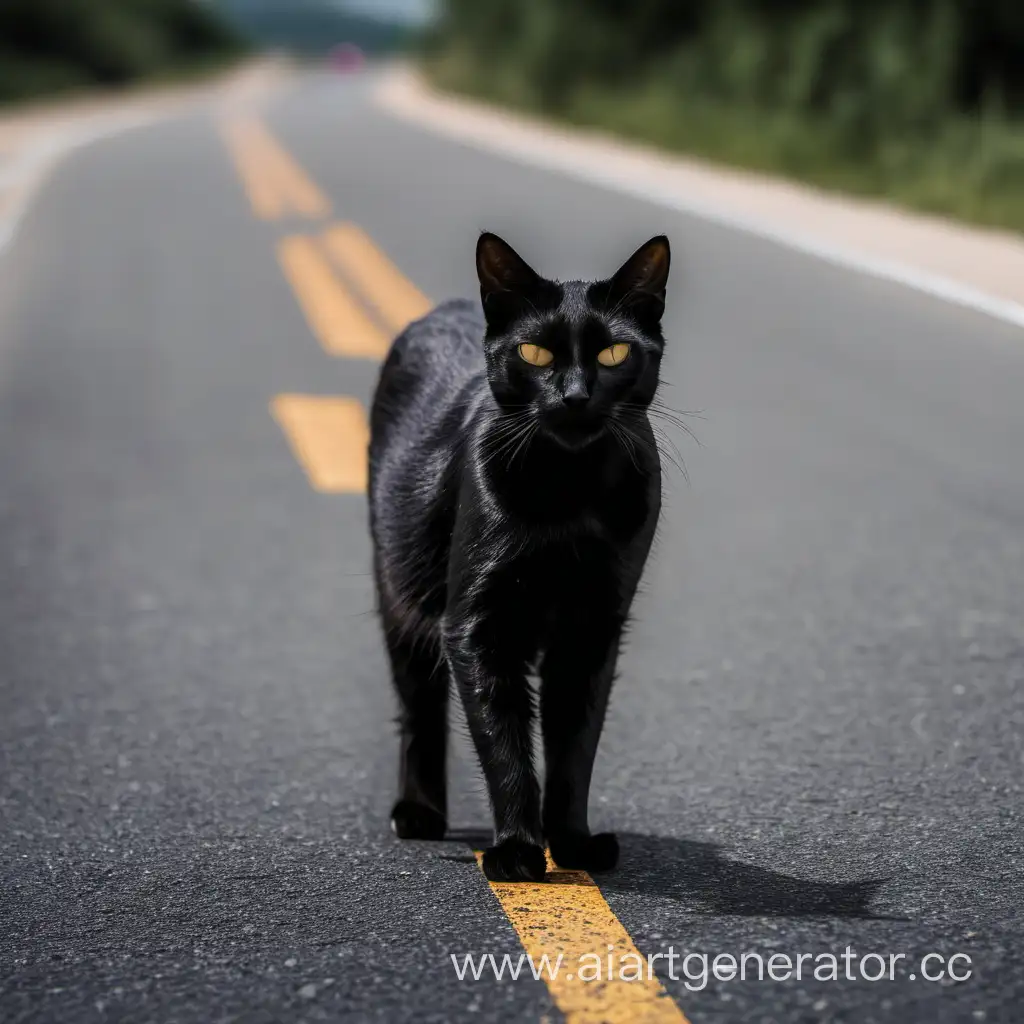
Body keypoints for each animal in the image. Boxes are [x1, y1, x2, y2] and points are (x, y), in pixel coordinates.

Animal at [370, 232, 671, 880]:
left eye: (614, 355)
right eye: (534, 354)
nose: (575, 396)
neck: (570, 492)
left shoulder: (592, 629)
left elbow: (574, 746)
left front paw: (573, 844)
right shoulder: (477, 625)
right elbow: (503, 743)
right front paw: (517, 851)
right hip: (401, 594)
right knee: (419, 707)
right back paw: (419, 813)